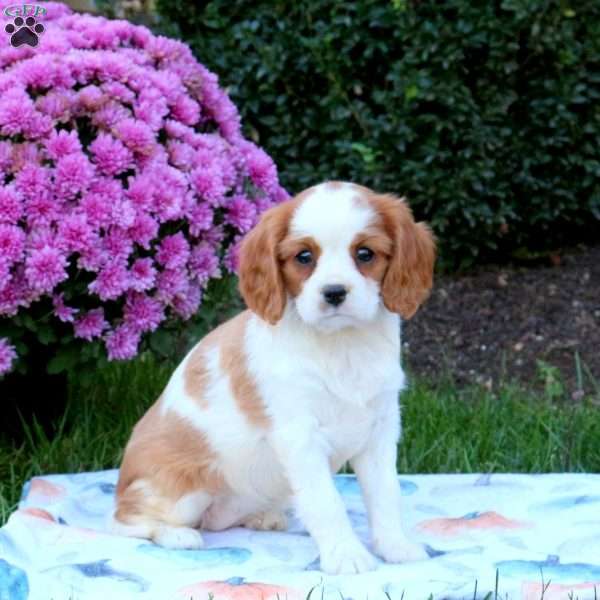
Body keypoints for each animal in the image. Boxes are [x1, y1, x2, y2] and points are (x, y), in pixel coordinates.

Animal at [110, 180, 434, 576]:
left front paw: (395, 546)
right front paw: (346, 554)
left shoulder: (380, 431)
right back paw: (177, 535)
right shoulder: (300, 437)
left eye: (365, 253)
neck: (342, 345)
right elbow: (327, 502)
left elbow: (386, 494)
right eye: (304, 257)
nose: (334, 293)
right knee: (125, 521)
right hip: (181, 492)